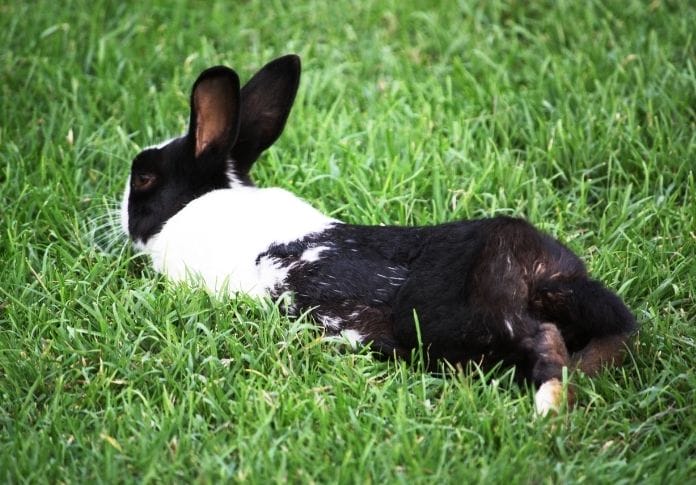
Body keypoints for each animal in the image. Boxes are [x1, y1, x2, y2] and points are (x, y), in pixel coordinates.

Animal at [120, 55, 637, 415]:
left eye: (143, 177)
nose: (119, 218)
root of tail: (546, 274)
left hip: (463, 321)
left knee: (543, 341)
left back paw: (547, 408)